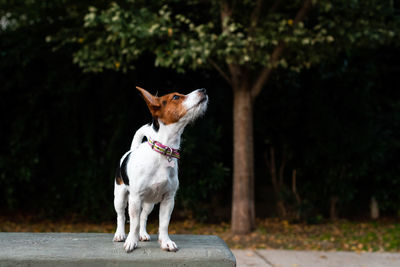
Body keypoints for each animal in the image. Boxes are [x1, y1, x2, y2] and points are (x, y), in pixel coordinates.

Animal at [111, 86, 208, 253]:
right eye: (175, 97)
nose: (203, 90)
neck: (163, 152)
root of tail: (132, 149)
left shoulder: (168, 199)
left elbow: (163, 224)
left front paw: (166, 242)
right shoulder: (135, 199)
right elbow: (133, 223)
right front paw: (131, 241)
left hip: (149, 203)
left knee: (143, 217)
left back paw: (142, 234)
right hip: (120, 197)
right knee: (121, 216)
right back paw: (120, 234)